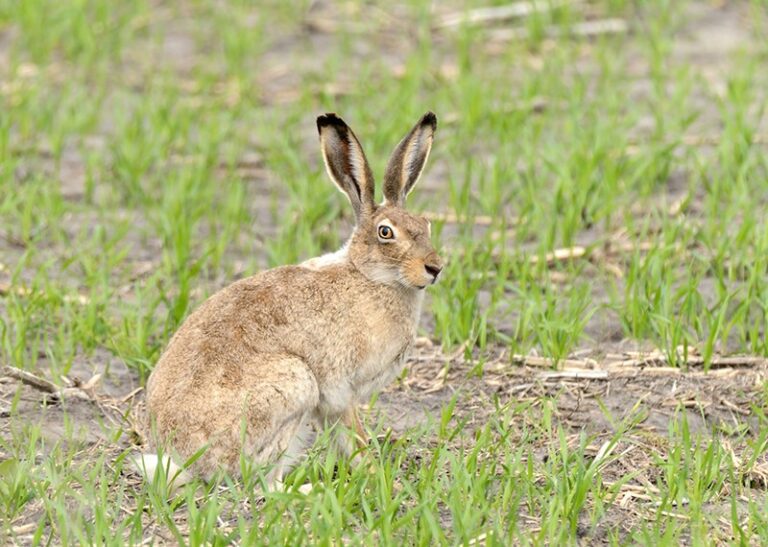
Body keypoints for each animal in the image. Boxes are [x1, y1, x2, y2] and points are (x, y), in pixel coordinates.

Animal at [140, 112, 443, 490]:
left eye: (425, 224)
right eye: (385, 232)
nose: (435, 268)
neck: (370, 277)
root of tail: (185, 460)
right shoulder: (339, 389)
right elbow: (354, 435)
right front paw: (380, 477)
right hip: (294, 388)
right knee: (262, 482)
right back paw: (311, 489)